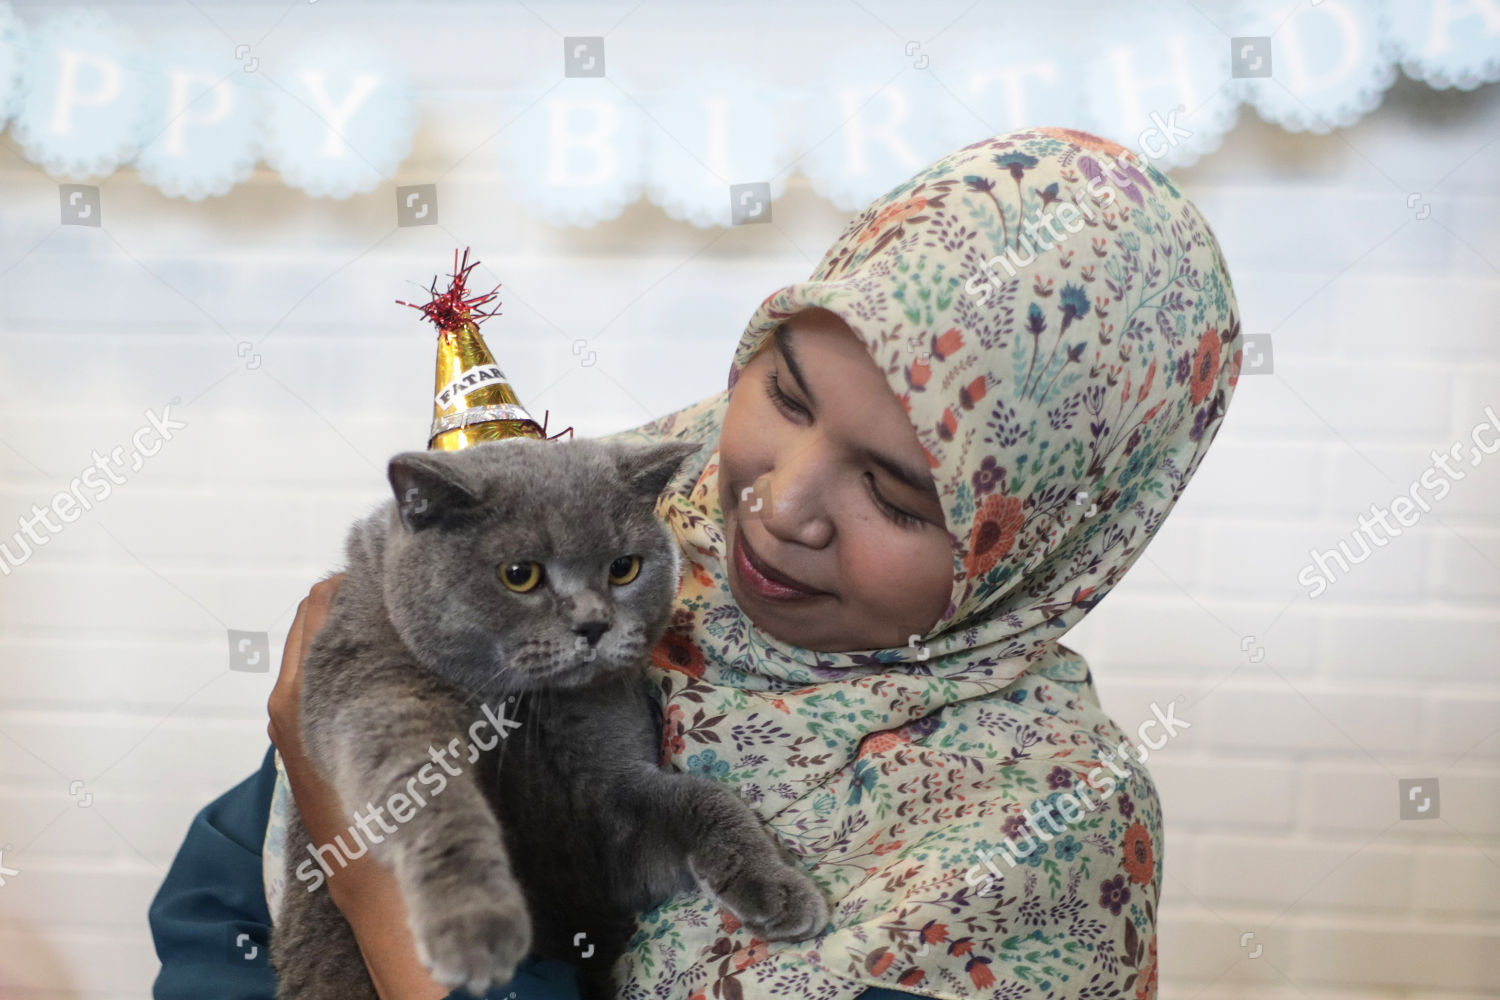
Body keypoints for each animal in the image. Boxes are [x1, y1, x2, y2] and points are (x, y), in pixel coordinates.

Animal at [270, 437, 834, 1000]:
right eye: (520, 575)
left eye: (623, 567)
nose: (594, 624)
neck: (523, 710)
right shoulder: (377, 686)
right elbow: (429, 798)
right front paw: (474, 922)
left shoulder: (606, 812)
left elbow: (706, 798)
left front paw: (782, 891)